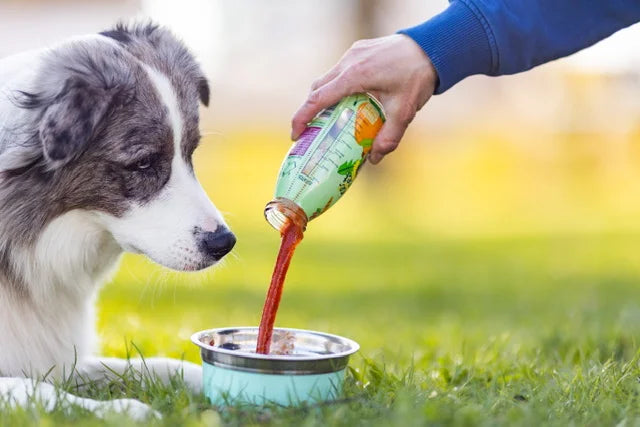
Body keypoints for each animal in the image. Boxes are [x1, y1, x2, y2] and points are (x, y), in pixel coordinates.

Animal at [0, 23, 235, 422]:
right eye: (143, 163)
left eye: (190, 153)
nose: (224, 244)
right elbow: (36, 390)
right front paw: (125, 410)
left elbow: (151, 365)